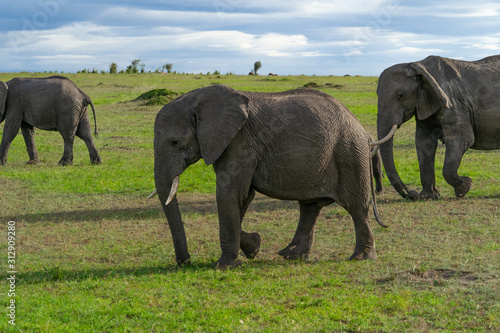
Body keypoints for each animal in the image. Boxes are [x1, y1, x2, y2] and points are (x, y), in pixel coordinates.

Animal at [148, 84, 386, 268]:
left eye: (175, 142)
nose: (185, 263)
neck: (199, 98)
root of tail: (364, 133)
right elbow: (243, 197)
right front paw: (253, 247)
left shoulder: (240, 143)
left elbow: (230, 194)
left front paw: (225, 266)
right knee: (310, 207)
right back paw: (291, 255)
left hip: (349, 154)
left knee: (356, 207)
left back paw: (361, 258)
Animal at [376, 55, 500, 198]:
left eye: (400, 96)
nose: (411, 193)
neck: (416, 64)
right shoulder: (425, 102)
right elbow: (424, 142)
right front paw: (428, 197)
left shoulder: (453, 103)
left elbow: (462, 139)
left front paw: (464, 187)